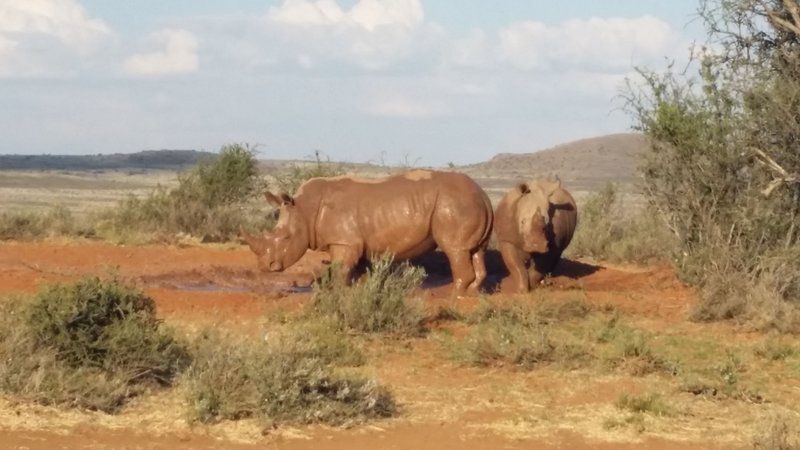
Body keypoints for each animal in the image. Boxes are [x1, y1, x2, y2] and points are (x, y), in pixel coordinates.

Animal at [241, 169, 494, 296]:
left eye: (285, 238)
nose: (265, 267)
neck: (304, 210)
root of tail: (483, 194)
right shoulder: (353, 241)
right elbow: (354, 270)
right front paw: (358, 288)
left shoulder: (345, 241)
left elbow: (341, 269)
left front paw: (338, 292)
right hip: (465, 202)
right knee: (475, 251)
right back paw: (473, 294)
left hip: (453, 204)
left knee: (455, 249)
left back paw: (453, 296)